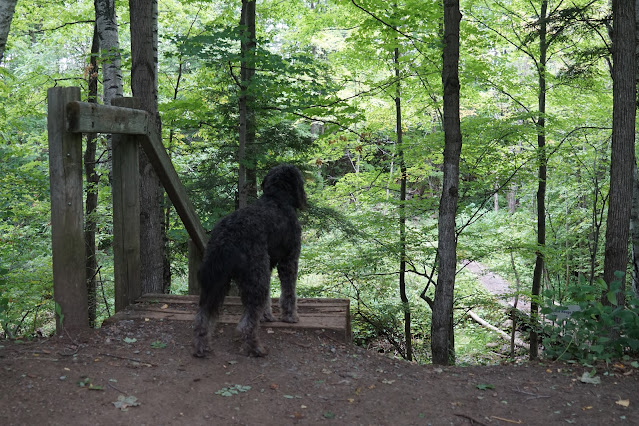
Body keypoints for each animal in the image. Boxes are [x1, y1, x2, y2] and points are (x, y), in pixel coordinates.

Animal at [194, 165, 306, 358]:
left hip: (217, 280)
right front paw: (290, 316)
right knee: (246, 323)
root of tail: (226, 235)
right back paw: (256, 348)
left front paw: (267, 316)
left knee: (203, 315)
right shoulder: (289, 261)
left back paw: (202, 347)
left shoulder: (268, 266)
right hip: (254, 277)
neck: (277, 198)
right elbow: (289, 292)